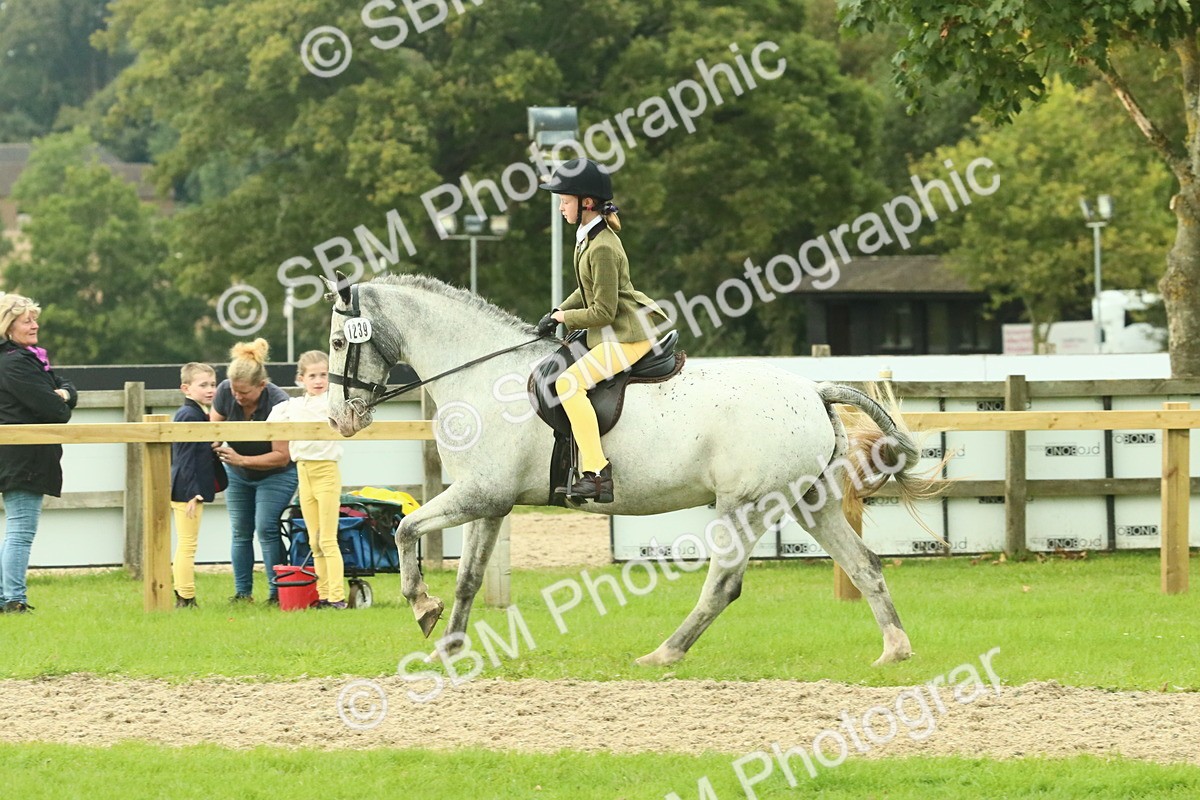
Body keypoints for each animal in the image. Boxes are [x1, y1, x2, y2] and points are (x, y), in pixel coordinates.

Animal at [323, 273, 934, 667]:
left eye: (335, 342)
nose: (339, 419)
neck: (484, 376)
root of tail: (813, 388)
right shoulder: (491, 501)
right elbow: (470, 577)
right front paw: (450, 647)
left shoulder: (477, 494)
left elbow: (405, 529)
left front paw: (422, 607)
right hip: (811, 502)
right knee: (865, 565)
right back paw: (895, 650)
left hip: (746, 506)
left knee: (724, 584)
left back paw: (663, 653)